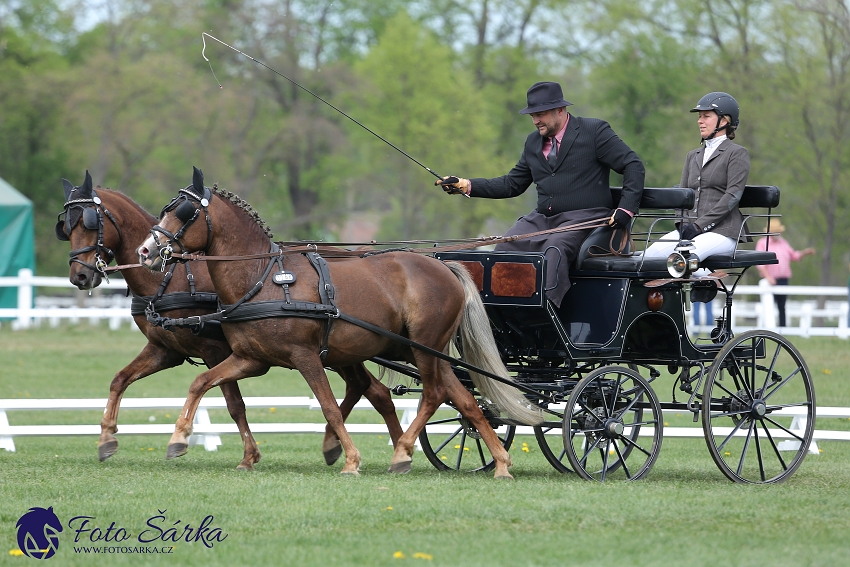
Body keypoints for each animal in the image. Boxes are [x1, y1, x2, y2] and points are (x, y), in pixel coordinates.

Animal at [57, 172, 400, 470]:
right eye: (66, 228)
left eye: (89, 223)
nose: (79, 276)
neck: (172, 277)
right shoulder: (166, 350)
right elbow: (120, 379)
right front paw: (106, 438)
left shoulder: (214, 351)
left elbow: (234, 404)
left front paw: (243, 453)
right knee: (371, 390)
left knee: (369, 389)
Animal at [136, 166, 540, 478]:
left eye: (184, 211)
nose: (146, 251)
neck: (263, 278)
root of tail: (443, 266)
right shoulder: (251, 359)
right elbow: (201, 382)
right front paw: (178, 439)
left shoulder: (305, 357)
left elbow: (328, 406)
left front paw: (351, 460)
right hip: (424, 351)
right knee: (465, 400)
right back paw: (499, 463)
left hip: (424, 348)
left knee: (434, 394)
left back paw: (402, 452)